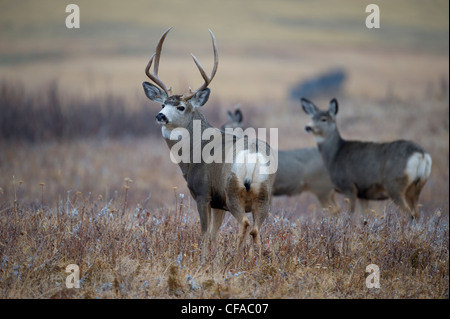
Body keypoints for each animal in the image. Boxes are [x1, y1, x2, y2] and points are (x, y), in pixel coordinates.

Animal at [142, 28, 276, 258]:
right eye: (162, 104)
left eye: (181, 107)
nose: (160, 116)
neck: (195, 151)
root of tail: (253, 156)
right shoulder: (218, 203)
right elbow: (214, 235)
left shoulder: (203, 193)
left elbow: (205, 234)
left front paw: (203, 258)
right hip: (263, 196)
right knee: (256, 229)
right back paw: (257, 259)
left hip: (233, 192)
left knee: (245, 224)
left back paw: (236, 258)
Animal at [300, 96, 430, 220]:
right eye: (312, 118)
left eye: (323, 119)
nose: (308, 127)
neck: (334, 155)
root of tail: (421, 154)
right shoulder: (363, 194)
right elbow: (364, 215)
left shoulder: (349, 186)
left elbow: (350, 215)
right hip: (416, 187)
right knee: (415, 213)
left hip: (395, 184)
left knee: (407, 212)